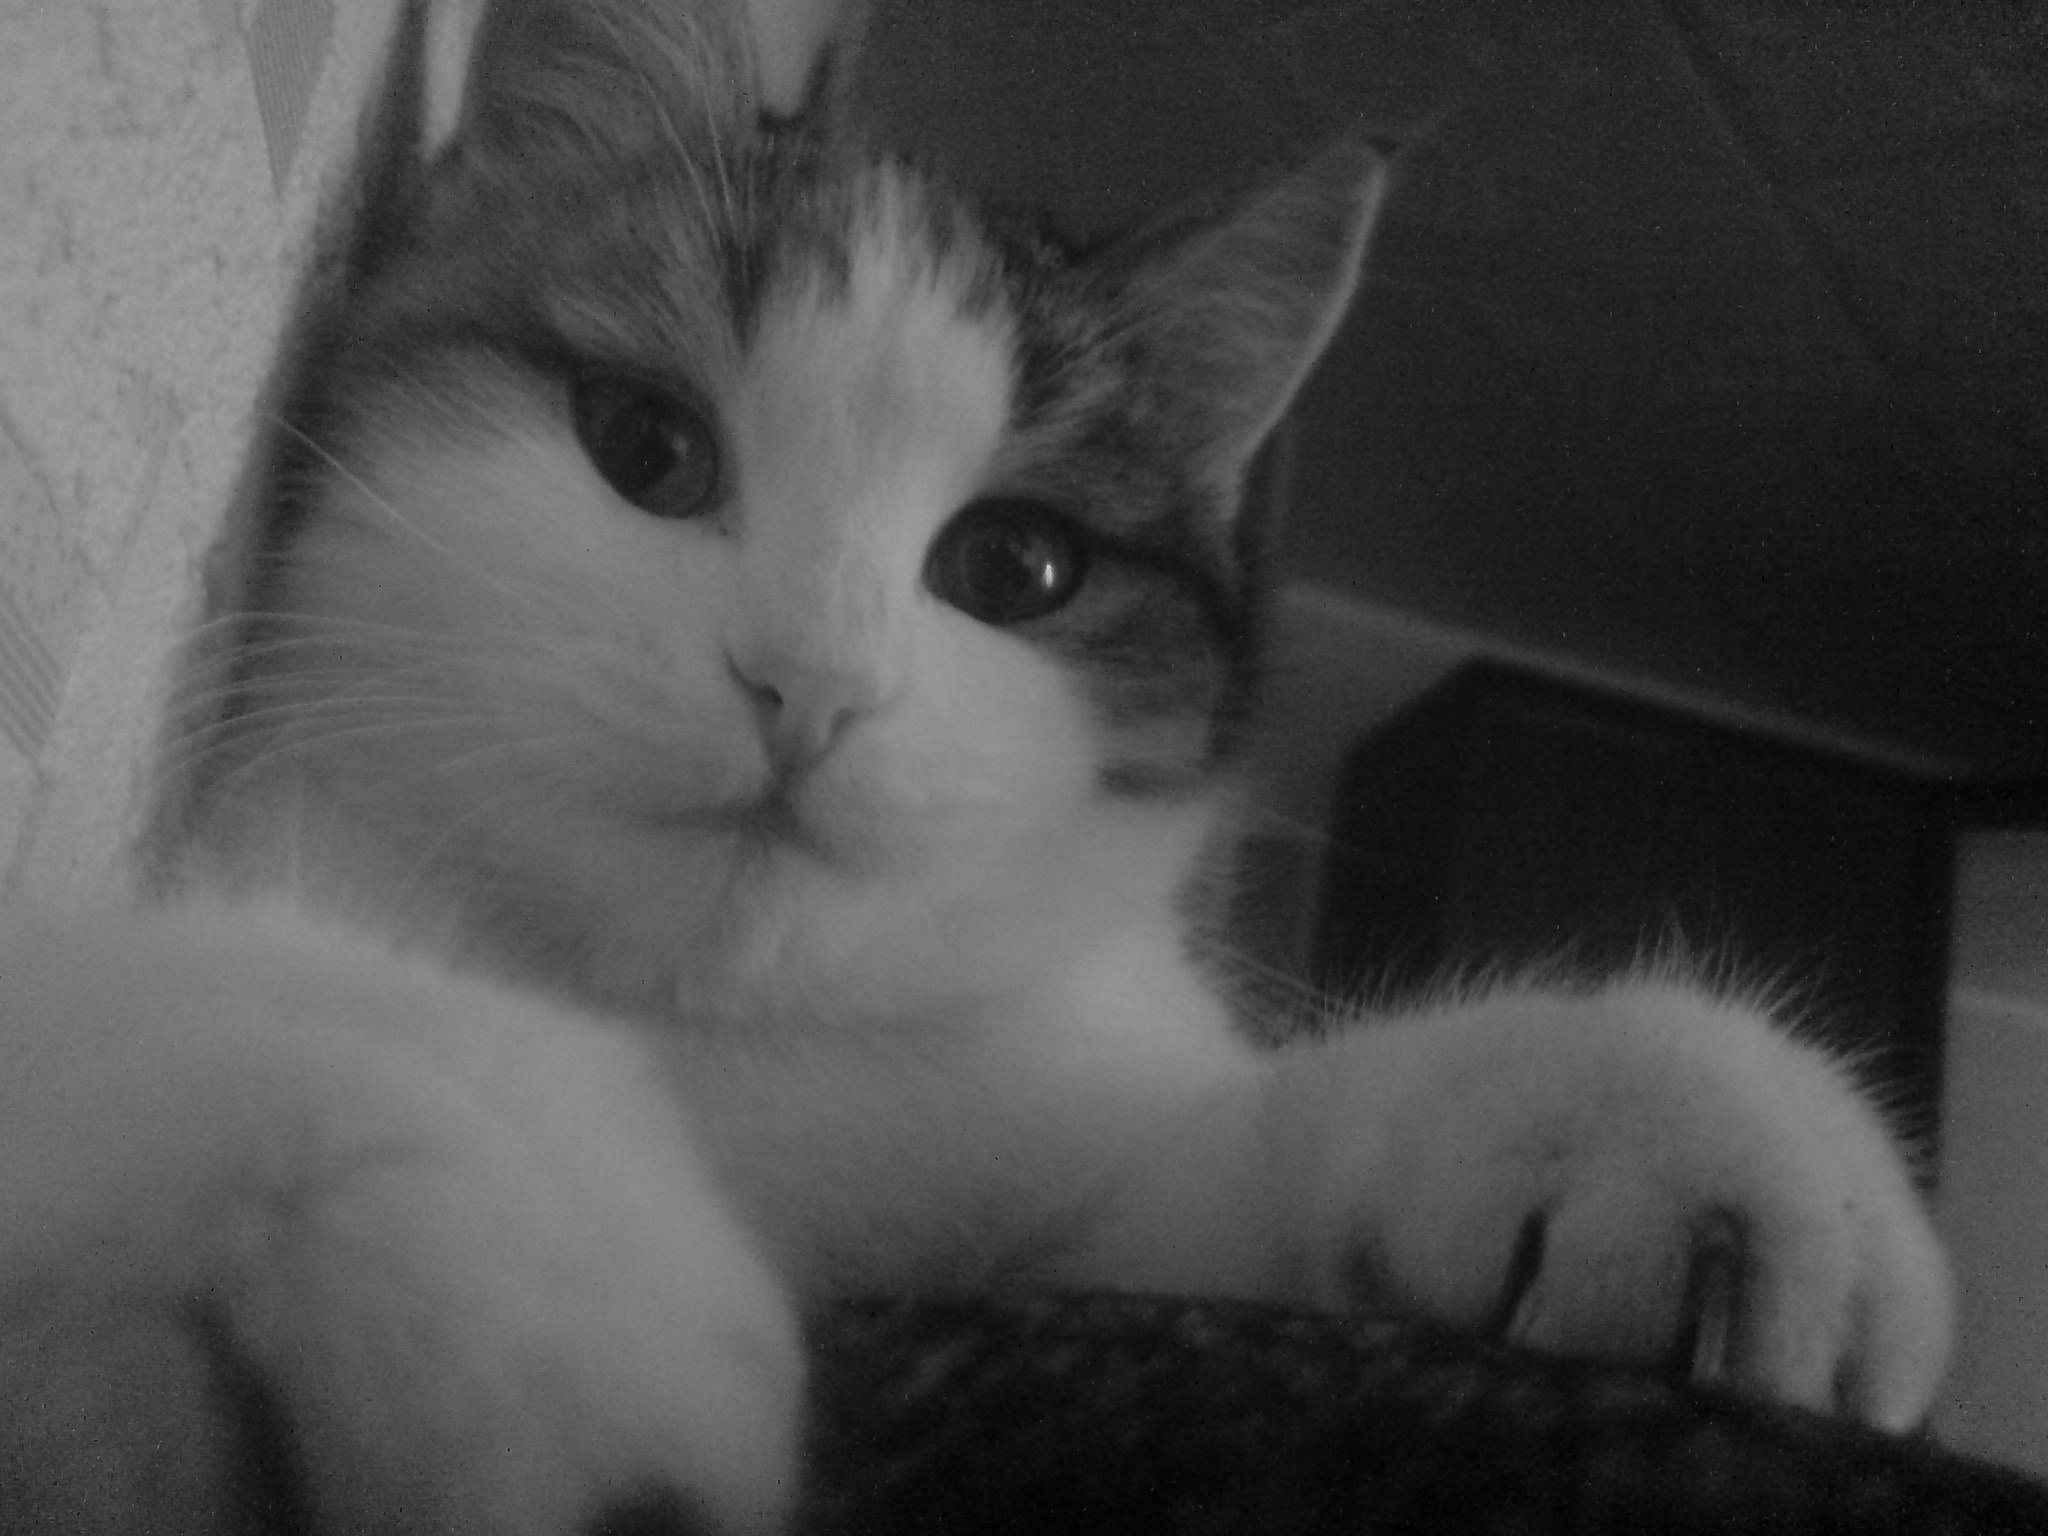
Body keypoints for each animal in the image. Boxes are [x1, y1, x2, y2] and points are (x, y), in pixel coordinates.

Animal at [0, 0, 1953, 1530]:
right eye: (645, 445)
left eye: (1014, 568)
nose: (808, 687)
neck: (724, 1044)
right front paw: (490, 1212)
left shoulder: (1056, 1200)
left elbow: (1198, 1178)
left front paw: (1663, 1103)